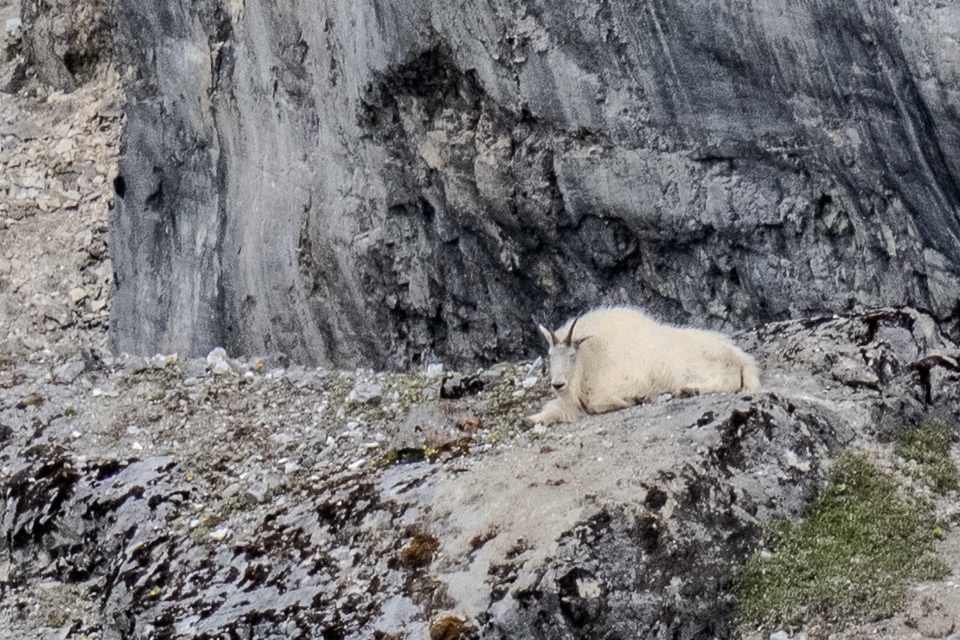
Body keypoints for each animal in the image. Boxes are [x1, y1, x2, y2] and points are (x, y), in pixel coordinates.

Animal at [528, 305, 759, 424]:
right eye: (550, 355)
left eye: (572, 355)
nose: (558, 385)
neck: (593, 357)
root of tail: (739, 356)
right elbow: (551, 409)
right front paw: (532, 419)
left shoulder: (627, 383)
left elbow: (597, 404)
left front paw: (629, 401)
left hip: (695, 370)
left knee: (728, 383)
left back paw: (688, 390)